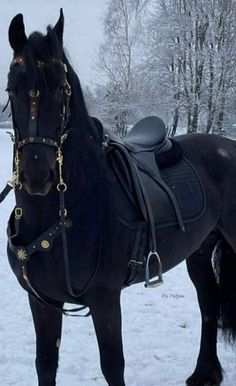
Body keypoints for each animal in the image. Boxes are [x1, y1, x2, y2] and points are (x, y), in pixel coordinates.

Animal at [4, 9, 235, 386]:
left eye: (63, 89)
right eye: (12, 88)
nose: (36, 175)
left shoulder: (105, 297)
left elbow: (113, 365)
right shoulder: (42, 302)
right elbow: (45, 364)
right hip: (200, 250)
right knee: (208, 305)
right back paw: (204, 372)